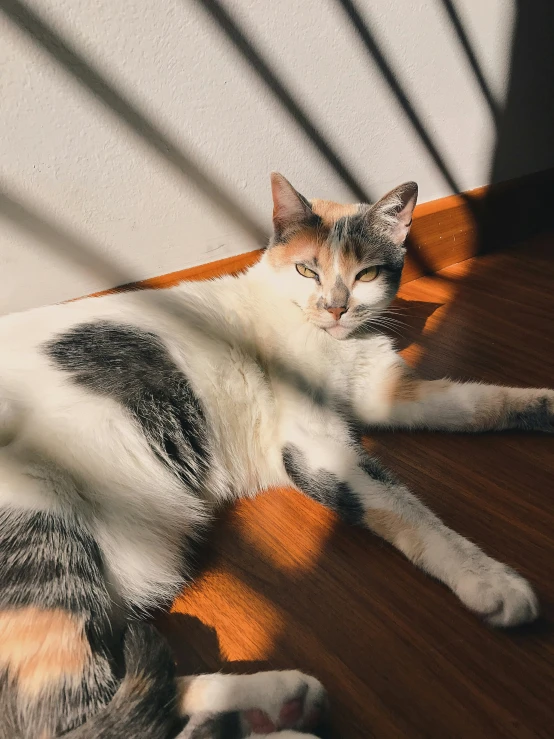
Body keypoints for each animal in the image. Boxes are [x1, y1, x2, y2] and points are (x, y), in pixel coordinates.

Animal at [0, 171, 548, 736]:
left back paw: (272, 706)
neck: (334, 341)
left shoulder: (382, 393)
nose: (335, 307)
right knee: (61, 715)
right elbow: (405, 509)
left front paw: (545, 405)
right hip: (42, 539)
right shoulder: (315, 444)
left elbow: (476, 401)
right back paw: (279, 708)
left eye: (367, 273)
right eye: (308, 269)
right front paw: (489, 579)